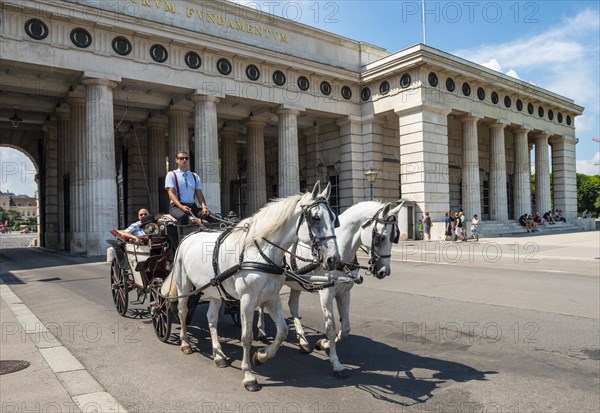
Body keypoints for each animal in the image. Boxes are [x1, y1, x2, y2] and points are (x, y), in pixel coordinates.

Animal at [164, 182, 340, 392]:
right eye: (316, 218)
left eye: (335, 218)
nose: (334, 259)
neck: (261, 252)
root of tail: (190, 235)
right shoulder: (247, 300)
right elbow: (246, 337)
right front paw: (248, 375)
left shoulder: (272, 297)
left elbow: (282, 331)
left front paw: (261, 356)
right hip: (184, 285)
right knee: (182, 312)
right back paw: (185, 343)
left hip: (214, 290)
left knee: (212, 319)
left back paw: (218, 354)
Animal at [258, 200, 404, 376]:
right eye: (380, 237)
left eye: (394, 237)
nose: (384, 271)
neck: (340, 250)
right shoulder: (326, 292)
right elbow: (331, 328)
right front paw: (336, 362)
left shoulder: (344, 292)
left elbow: (346, 328)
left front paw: (323, 344)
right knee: (261, 305)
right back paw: (261, 331)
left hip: (295, 282)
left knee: (293, 306)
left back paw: (302, 341)